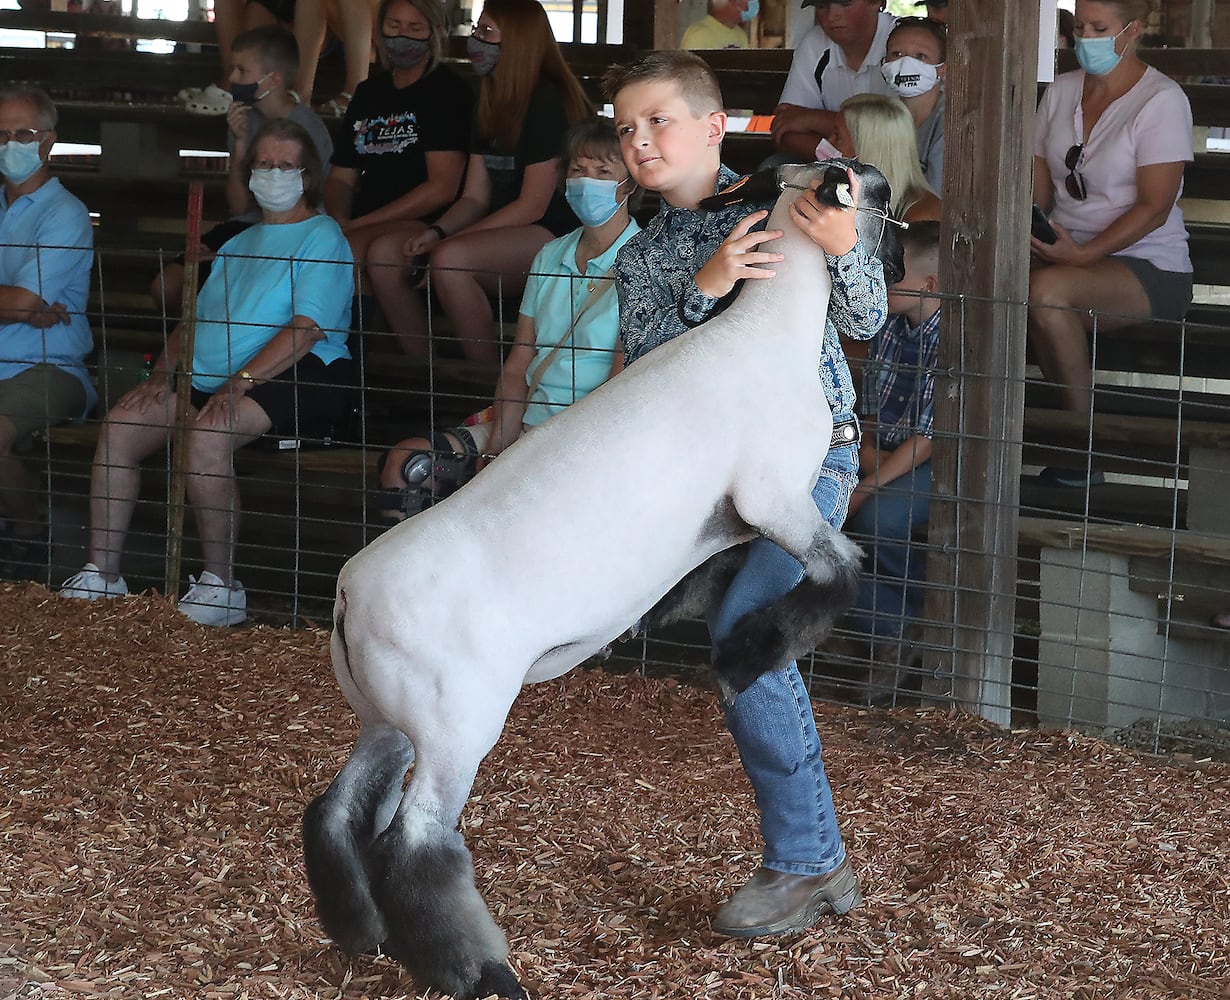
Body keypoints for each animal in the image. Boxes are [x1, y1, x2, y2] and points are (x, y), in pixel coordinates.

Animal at [303, 159, 910, 993]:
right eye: (878, 196)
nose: (902, 268)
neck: (767, 332)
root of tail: (347, 597)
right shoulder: (772, 496)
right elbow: (841, 573)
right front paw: (744, 655)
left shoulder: (735, 517)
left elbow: (717, 568)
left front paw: (670, 614)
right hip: (457, 720)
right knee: (414, 843)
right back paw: (479, 973)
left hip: (388, 713)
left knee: (333, 811)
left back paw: (359, 932)